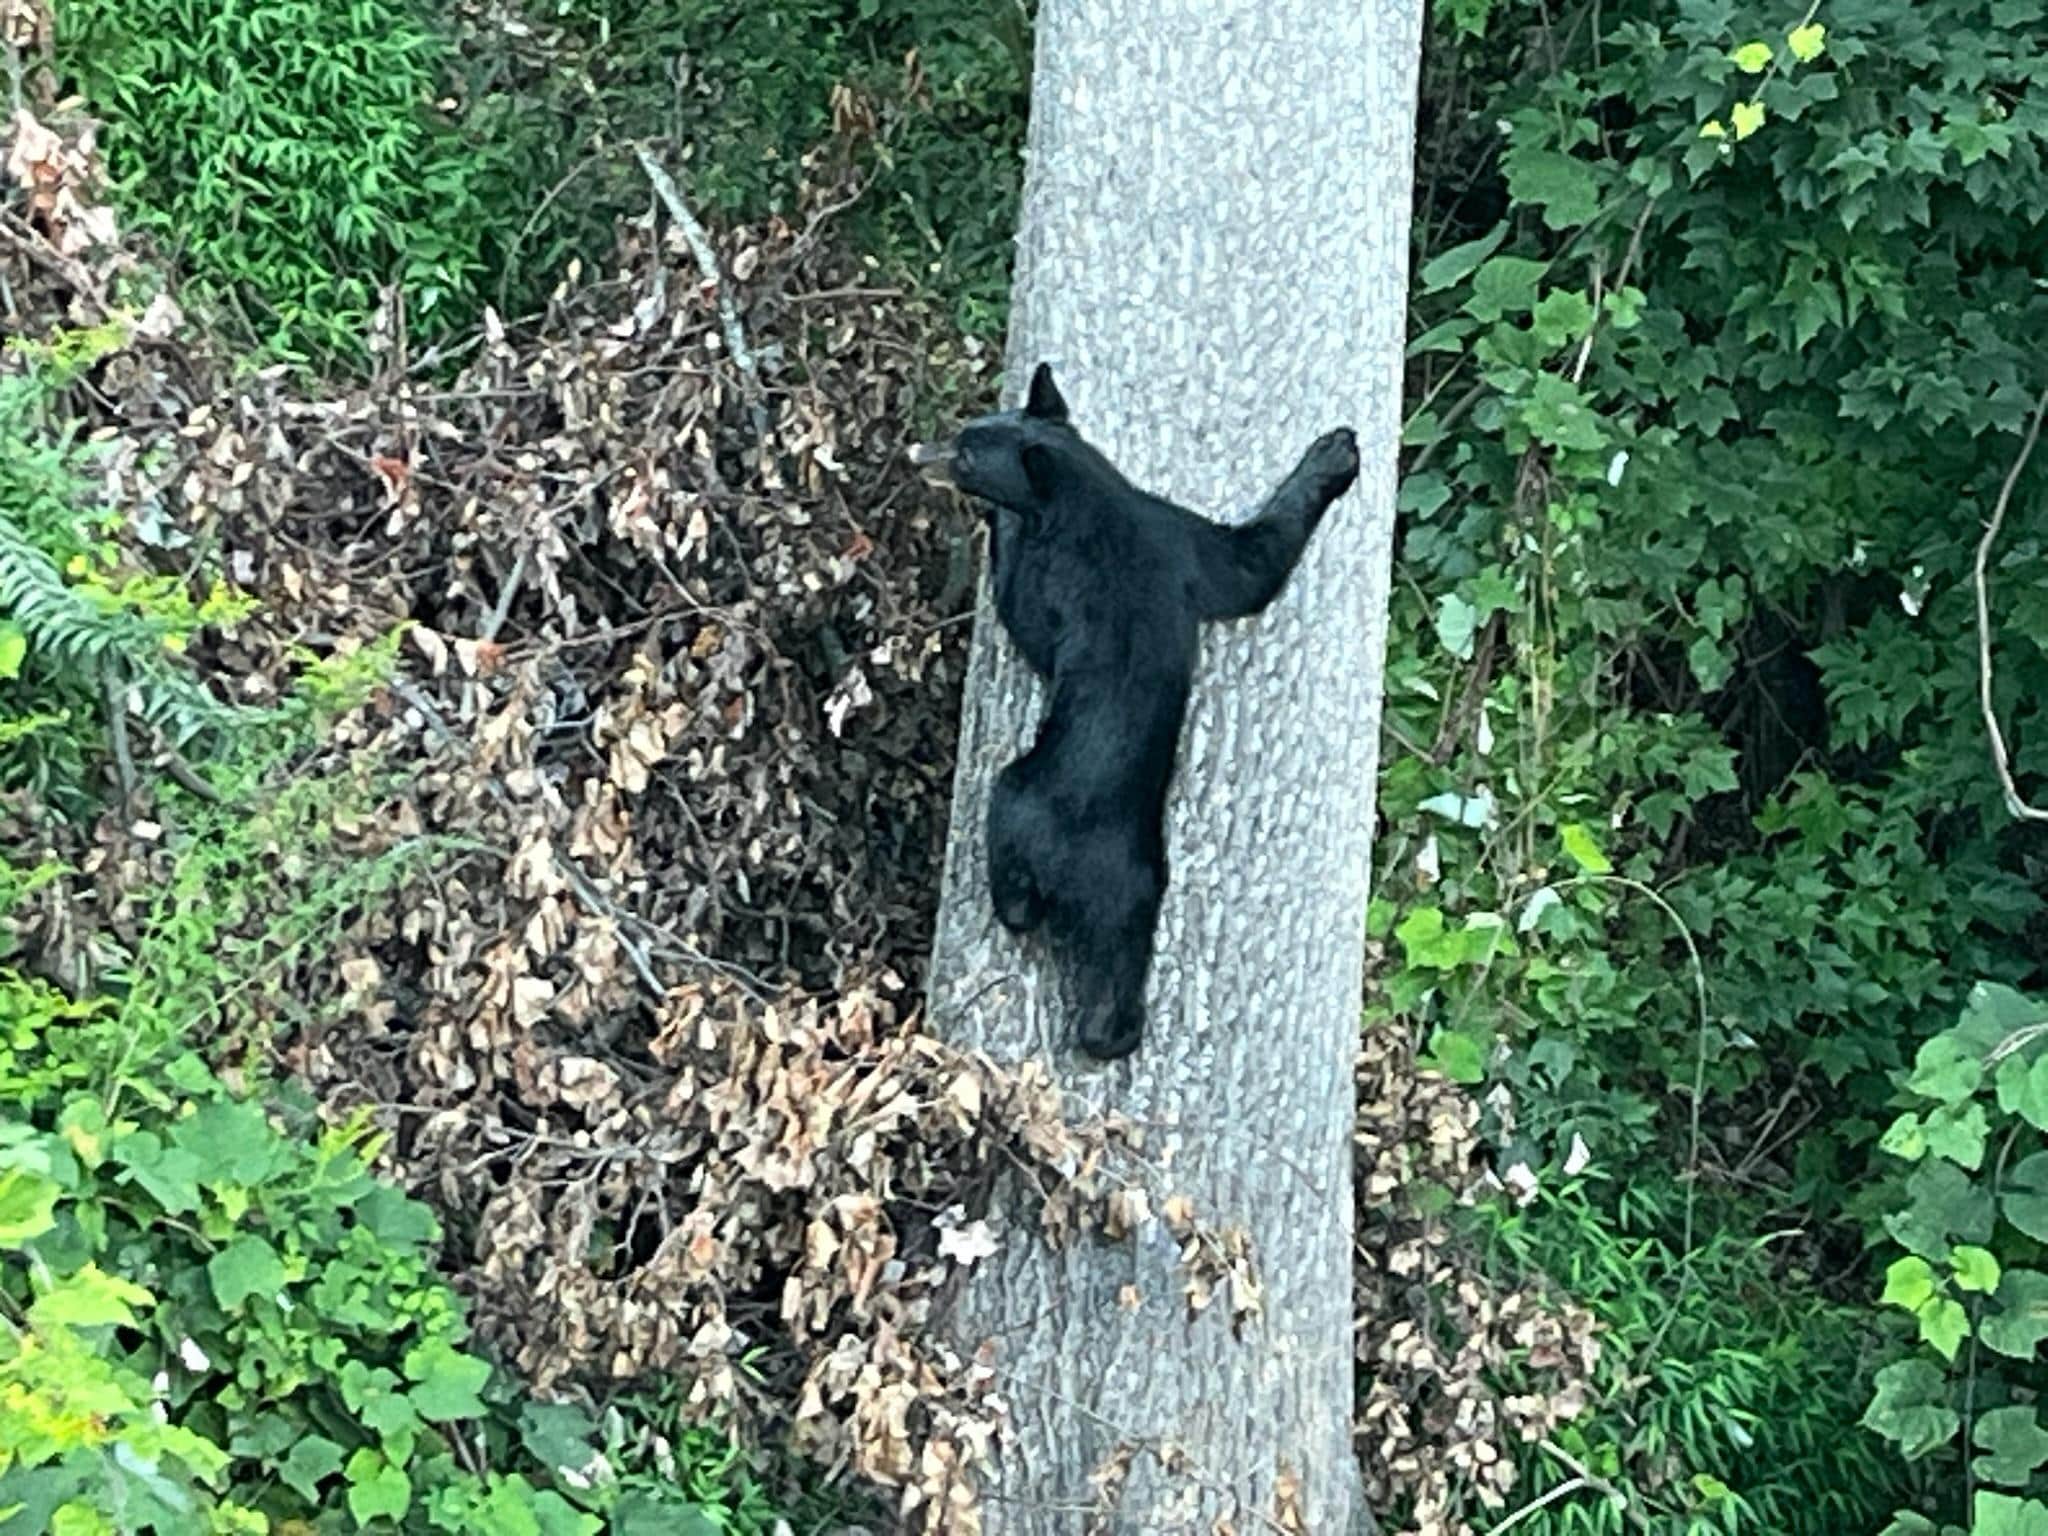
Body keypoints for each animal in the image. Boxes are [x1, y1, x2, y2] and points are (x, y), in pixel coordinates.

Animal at [915, 363, 1358, 1059]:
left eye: (965, 454)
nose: (921, 452)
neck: (1094, 495)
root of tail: (1074, 866)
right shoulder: (1188, 542)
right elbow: (1252, 566)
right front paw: (1336, 454)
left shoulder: (1060, 572)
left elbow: (1025, 616)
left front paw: (1000, 525)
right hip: (1139, 894)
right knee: (1119, 963)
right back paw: (1116, 1032)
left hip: (1021, 803)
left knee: (1016, 893)